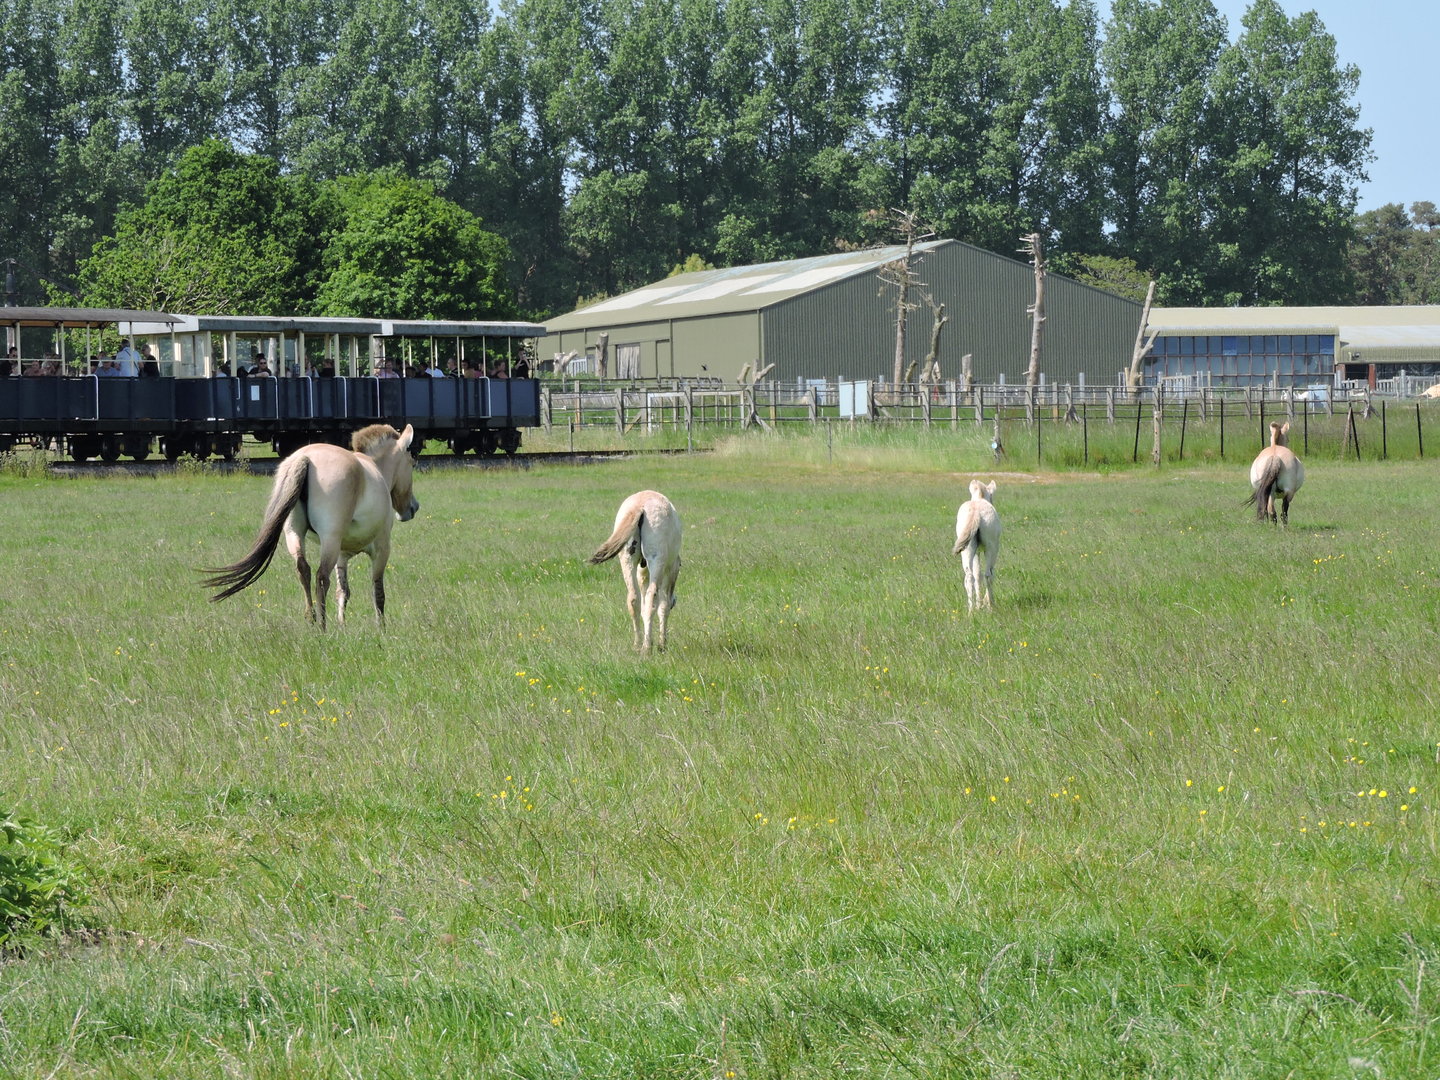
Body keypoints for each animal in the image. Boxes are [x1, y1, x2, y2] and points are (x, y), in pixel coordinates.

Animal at [201, 424, 419, 627]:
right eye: (411, 463)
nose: (413, 507)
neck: (375, 468)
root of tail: (304, 458)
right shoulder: (381, 548)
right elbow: (377, 592)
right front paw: (381, 628)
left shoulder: (342, 554)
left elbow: (343, 592)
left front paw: (342, 625)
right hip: (329, 539)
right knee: (321, 577)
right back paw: (322, 625)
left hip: (294, 533)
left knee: (303, 568)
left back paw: (311, 619)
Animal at [588, 490, 682, 653]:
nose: (675, 601)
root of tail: (639, 506)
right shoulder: (670, 571)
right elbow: (663, 606)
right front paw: (662, 644)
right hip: (656, 561)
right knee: (651, 598)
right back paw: (646, 648)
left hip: (627, 559)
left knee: (633, 599)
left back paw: (638, 644)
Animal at [952, 479, 1001, 612]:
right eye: (992, 496)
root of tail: (976, 511)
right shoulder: (993, 549)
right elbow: (987, 573)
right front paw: (985, 602)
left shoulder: (976, 552)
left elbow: (977, 574)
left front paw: (979, 604)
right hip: (990, 548)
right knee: (988, 575)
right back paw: (991, 606)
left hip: (967, 550)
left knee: (969, 576)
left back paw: (971, 610)